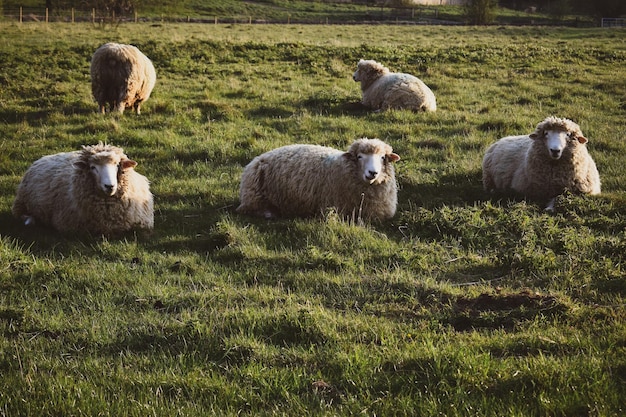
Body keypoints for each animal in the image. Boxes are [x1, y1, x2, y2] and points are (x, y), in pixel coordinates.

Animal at [12, 142, 154, 234]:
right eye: (93, 167)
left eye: (117, 165)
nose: (109, 186)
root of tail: (43, 157)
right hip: (22, 203)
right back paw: (29, 220)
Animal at [234, 137, 400, 223]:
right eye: (359, 156)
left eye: (382, 157)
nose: (373, 172)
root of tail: (256, 159)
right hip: (254, 197)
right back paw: (270, 213)